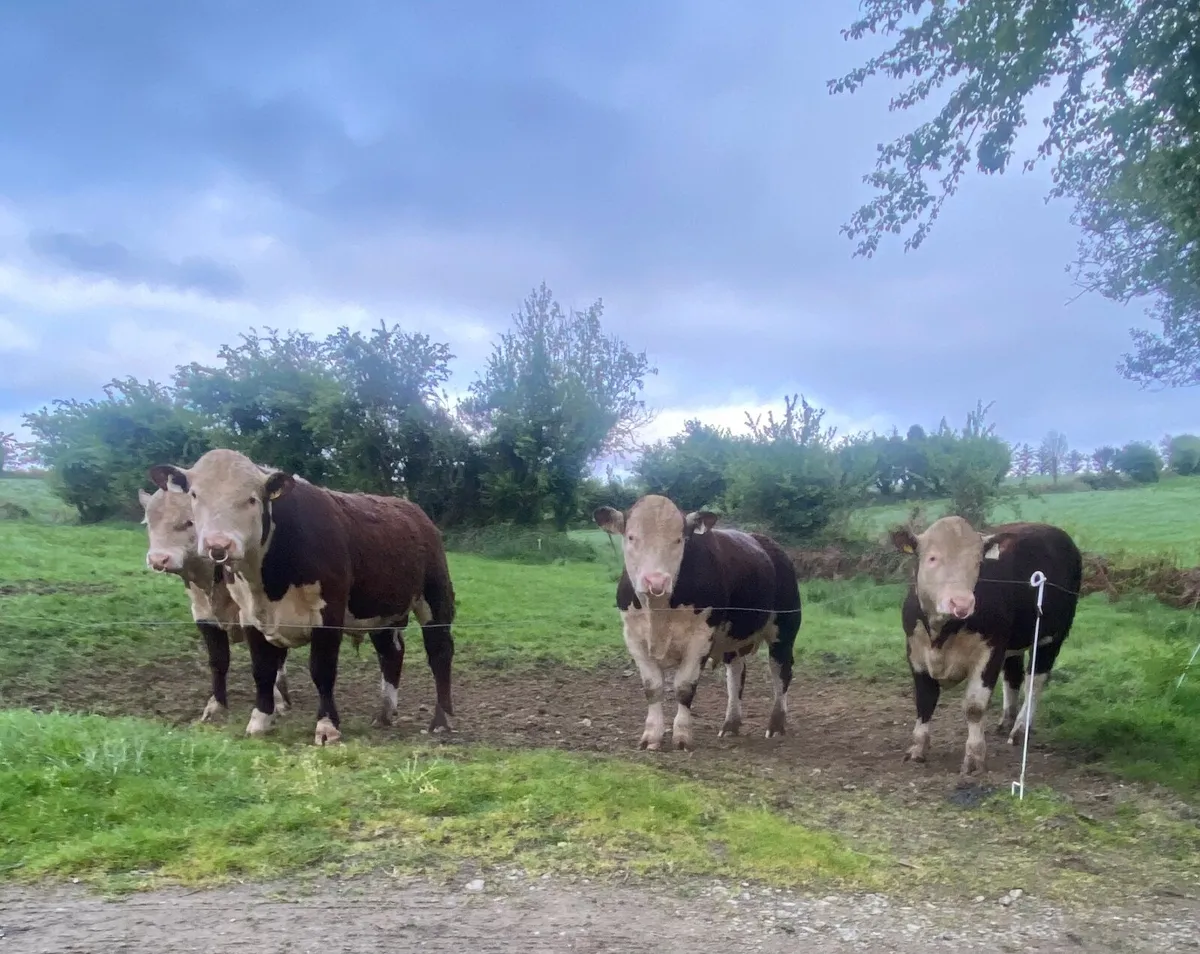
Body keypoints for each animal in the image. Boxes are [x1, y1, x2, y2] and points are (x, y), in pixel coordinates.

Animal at [138, 487, 291, 722]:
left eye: (189, 522)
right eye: (148, 522)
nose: (158, 559)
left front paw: (275, 703)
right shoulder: (202, 613)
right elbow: (218, 661)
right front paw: (215, 706)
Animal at [594, 493, 802, 752]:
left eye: (679, 539)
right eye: (631, 537)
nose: (656, 581)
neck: (658, 610)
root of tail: (767, 543)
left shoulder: (701, 637)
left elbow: (684, 687)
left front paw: (682, 736)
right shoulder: (633, 636)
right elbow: (652, 687)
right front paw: (651, 736)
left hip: (784, 628)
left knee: (780, 672)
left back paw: (776, 725)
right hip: (733, 637)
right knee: (736, 675)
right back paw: (730, 724)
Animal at [890, 516, 1082, 778]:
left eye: (978, 562)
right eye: (932, 558)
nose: (962, 602)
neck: (941, 632)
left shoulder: (991, 650)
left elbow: (974, 707)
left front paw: (974, 757)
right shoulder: (915, 652)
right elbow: (924, 699)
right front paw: (917, 749)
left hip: (1052, 636)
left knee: (1035, 681)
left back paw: (1020, 730)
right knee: (1013, 676)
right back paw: (1006, 722)